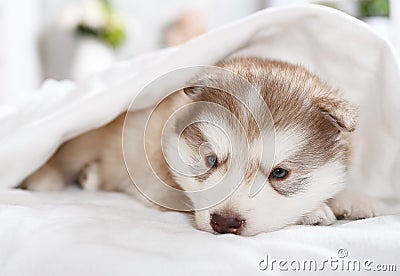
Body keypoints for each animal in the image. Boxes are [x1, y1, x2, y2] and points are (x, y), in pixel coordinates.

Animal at [21, 57, 376, 235]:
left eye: (280, 173)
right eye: (211, 161)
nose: (225, 223)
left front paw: (353, 198)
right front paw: (316, 209)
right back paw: (47, 177)